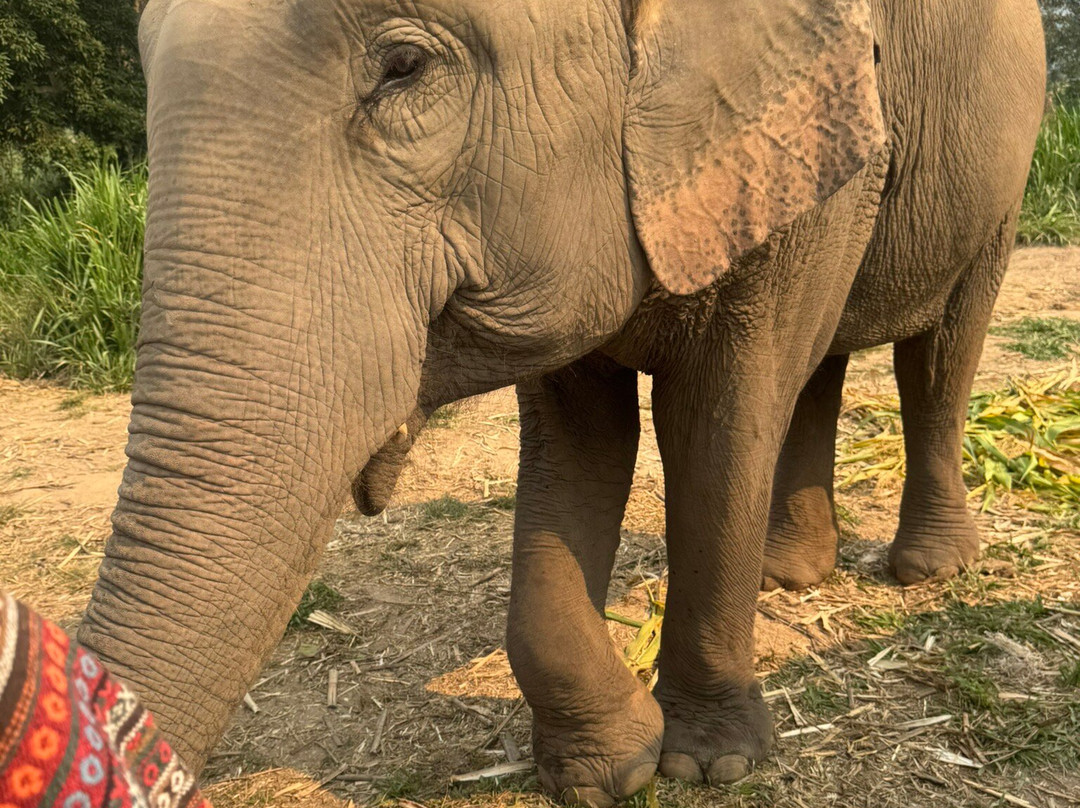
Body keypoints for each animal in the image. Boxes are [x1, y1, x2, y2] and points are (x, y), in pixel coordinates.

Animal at [78, 0, 1046, 805]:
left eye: (404, 67)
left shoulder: (797, 137)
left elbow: (721, 420)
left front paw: (711, 764)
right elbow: (581, 443)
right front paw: (604, 770)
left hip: (1005, 167)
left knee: (942, 349)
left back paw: (927, 568)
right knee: (826, 361)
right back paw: (791, 575)